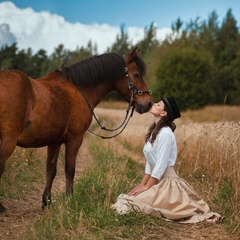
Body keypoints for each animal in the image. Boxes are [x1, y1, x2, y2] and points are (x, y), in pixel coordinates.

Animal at [0, 47, 152, 212]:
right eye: (136, 74)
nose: (148, 103)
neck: (78, 89)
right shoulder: (75, 139)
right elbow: (69, 169)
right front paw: (69, 199)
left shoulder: (54, 142)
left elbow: (51, 170)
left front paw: (47, 201)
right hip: (8, 140)